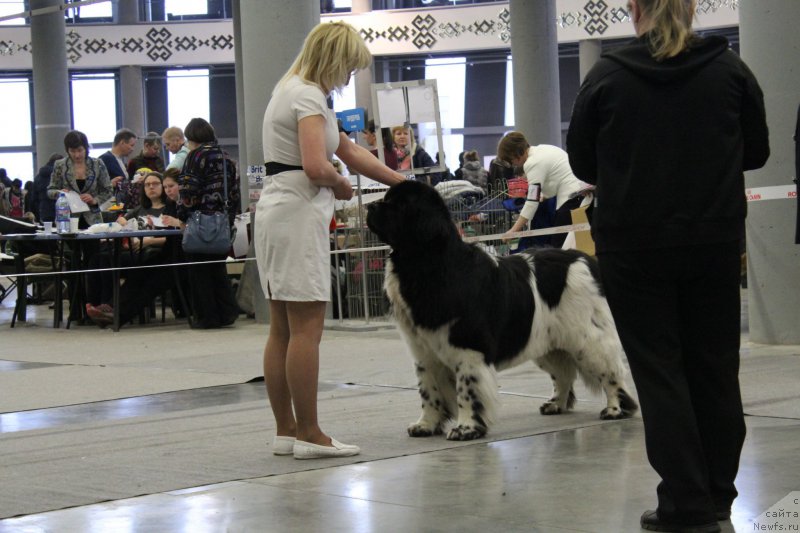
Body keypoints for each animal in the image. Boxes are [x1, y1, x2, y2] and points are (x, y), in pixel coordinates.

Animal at [368, 181, 636, 438]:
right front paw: (425, 425)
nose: (370, 206)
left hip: (588, 339)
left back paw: (615, 409)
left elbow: (466, 390)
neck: (427, 263)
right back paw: (555, 404)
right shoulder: (424, 352)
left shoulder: (468, 349)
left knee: (611, 372)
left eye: (400, 205)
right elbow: (428, 391)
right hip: (546, 342)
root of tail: (585, 260)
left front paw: (465, 429)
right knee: (563, 373)